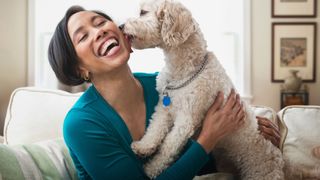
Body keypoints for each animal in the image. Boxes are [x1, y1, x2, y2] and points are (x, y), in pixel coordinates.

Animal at [123, 0, 284, 179]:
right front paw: (143, 147)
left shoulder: (186, 119)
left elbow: (167, 147)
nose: (121, 26)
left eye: (143, 12)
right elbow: (154, 129)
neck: (185, 70)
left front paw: (150, 169)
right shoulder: (164, 109)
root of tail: (278, 158)